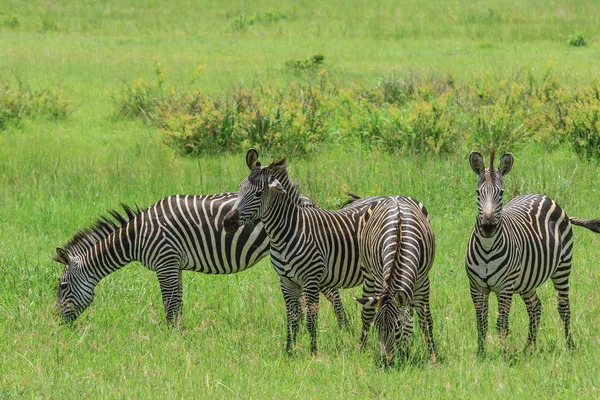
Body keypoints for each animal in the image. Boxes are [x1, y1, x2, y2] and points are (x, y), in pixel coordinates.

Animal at [55, 192, 352, 326]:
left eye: (61, 286)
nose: (57, 324)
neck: (137, 236)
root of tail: (306, 200)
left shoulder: (165, 262)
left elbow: (169, 303)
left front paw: (170, 336)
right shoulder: (174, 265)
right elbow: (178, 302)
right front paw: (179, 333)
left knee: (331, 292)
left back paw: (343, 328)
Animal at [354, 195, 438, 364]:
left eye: (397, 327)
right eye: (377, 328)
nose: (385, 361)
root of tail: (394, 197)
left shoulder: (423, 282)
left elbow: (426, 320)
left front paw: (432, 357)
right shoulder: (380, 280)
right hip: (368, 274)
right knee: (366, 313)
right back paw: (361, 347)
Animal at [466, 150, 600, 354]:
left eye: (501, 193)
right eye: (477, 192)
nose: (488, 227)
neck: (487, 249)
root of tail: (543, 196)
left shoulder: (505, 288)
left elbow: (501, 324)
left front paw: (503, 354)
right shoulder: (476, 287)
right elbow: (481, 323)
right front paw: (481, 354)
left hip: (563, 267)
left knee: (563, 307)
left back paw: (569, 345)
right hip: (527, 280)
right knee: (535, 306)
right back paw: (529, 347)